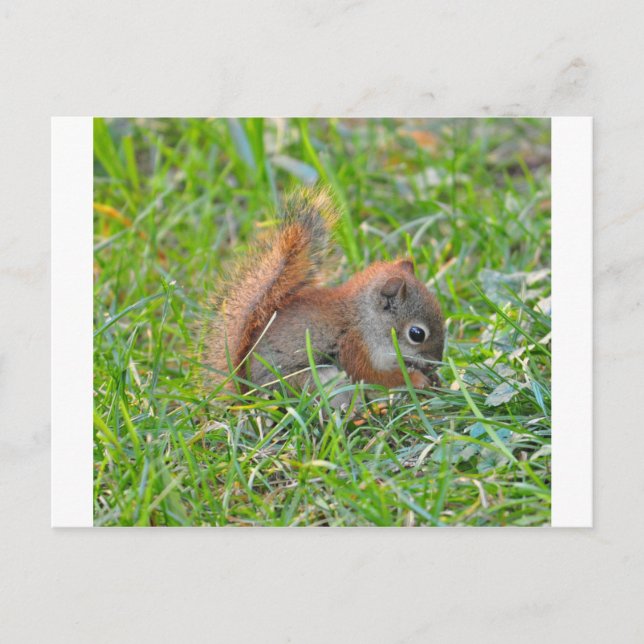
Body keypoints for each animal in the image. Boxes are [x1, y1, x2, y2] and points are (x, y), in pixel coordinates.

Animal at [205, 187, 445, 398]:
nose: (438, 361)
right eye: (417, 334)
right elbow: (371, 375)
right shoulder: (354, 346)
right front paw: (416, 379)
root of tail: (245, 390)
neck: (366, 320)